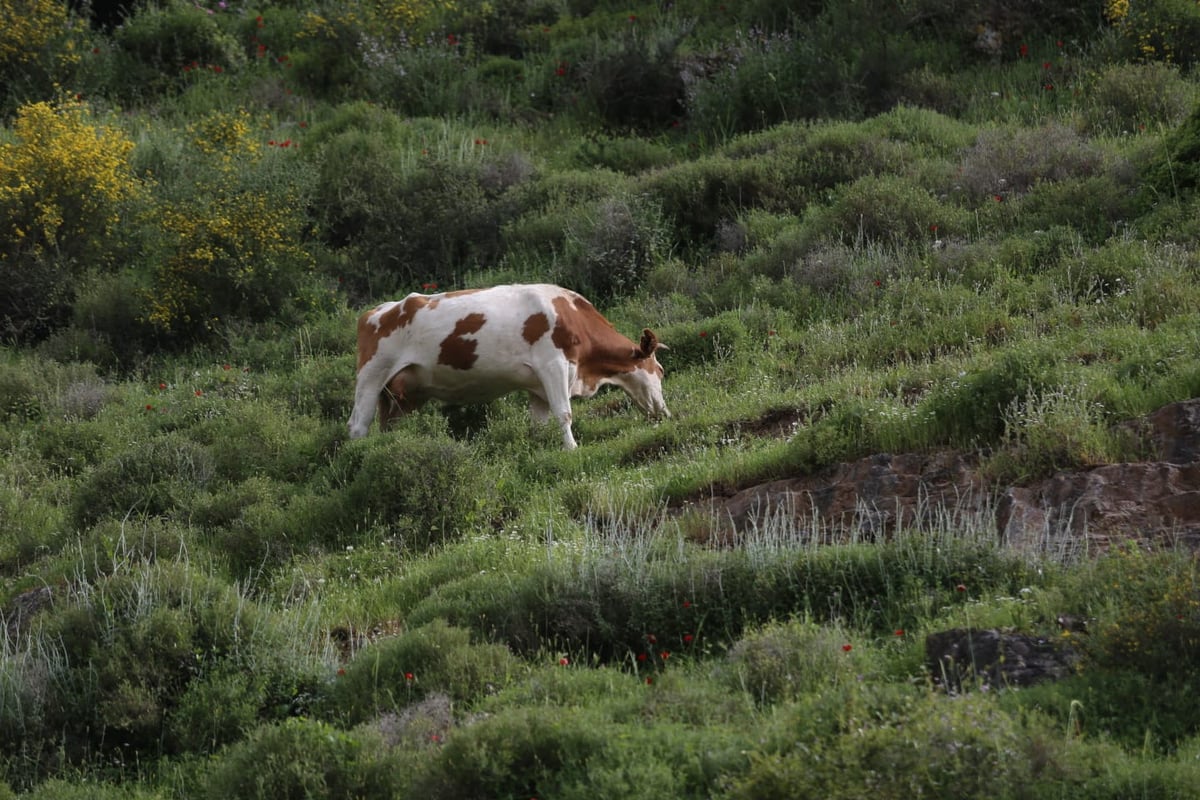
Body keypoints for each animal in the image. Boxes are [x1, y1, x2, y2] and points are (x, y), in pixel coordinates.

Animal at [348, 283, 672, 450]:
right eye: (660, 371)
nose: (666, 413)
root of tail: (375, 311)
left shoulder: (538, 386)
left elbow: (540, 424)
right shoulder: (553, 365)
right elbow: (564, 414)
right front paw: (572, 449)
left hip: (401, 396)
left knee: (388, 428)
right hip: (371, 376)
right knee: (357, 425)